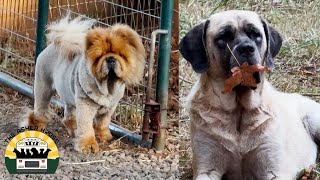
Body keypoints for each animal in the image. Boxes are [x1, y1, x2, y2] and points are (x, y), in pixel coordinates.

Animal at [22, 15, 146, 153]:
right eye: (100, 56)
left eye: (120, 55)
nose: (110, 59)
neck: (107, 87)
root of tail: (53, 45)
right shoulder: (86, 105)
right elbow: (86, 127)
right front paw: (88, 145)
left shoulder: (110, 107)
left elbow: (102, 123)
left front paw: (104, 136)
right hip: (44, 87)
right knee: (40, 110)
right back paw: (35, 127)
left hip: (68, 94)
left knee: (68, 117)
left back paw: (74, 131)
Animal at [180, 10, 320, 180]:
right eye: (223, 37)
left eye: (255, 34)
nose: (246, 48)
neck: (238, 110)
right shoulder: (207, 167)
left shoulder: (273, 168)